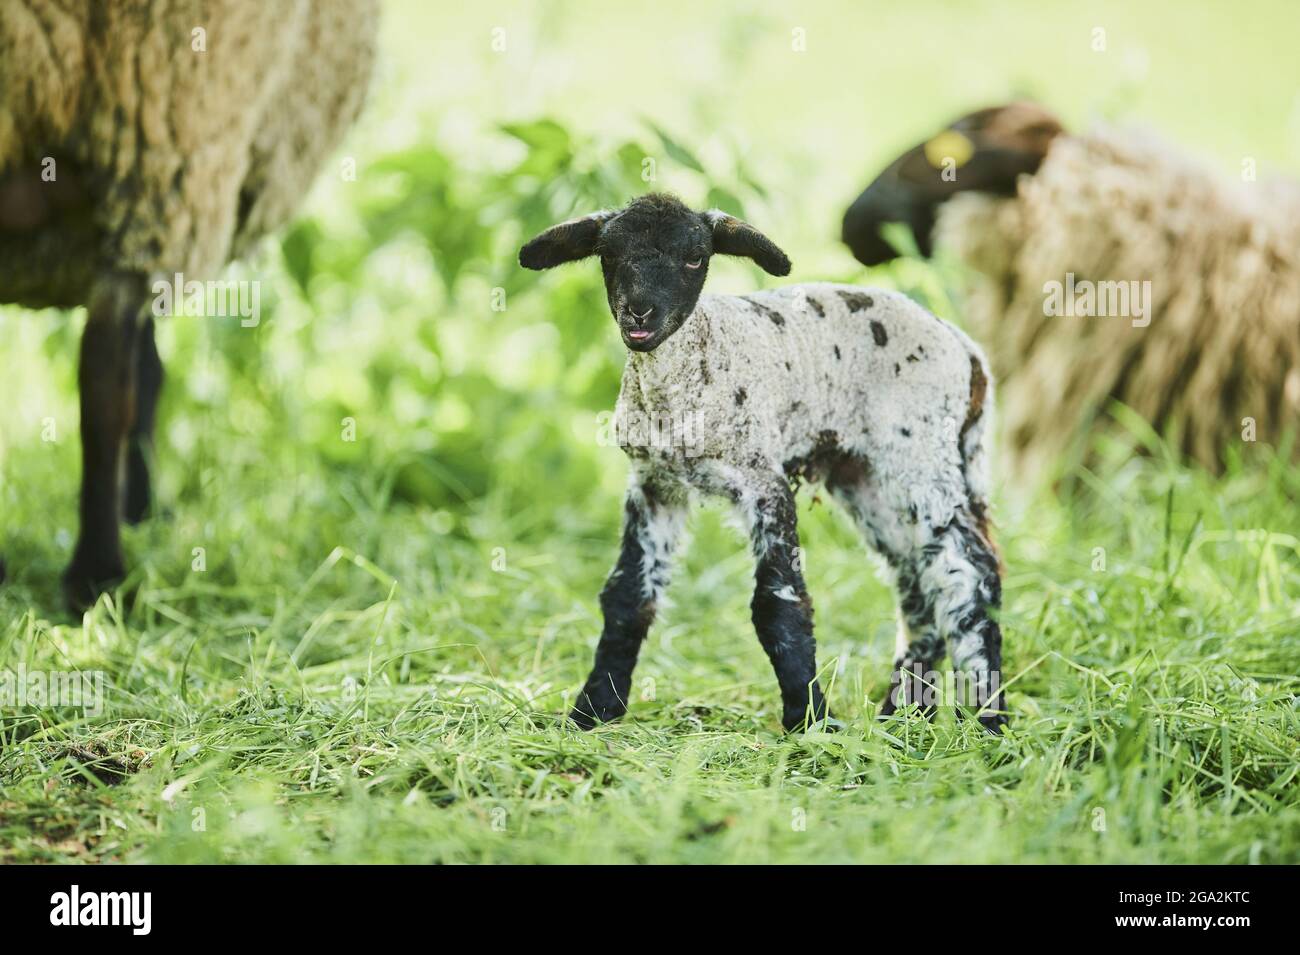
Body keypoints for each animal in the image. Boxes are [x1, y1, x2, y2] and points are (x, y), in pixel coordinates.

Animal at [520, 193, 1007, 733]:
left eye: (696, 257)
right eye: (608, 255)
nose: (639, 314)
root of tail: (966, 348)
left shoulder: (763, 481)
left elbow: (778, 603)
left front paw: (810, 721)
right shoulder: (654, 484)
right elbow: (627, 595)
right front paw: (593, 710)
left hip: (919, 455)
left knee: (968, 570)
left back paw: (987, 718)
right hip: (865, 476)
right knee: (918, 580)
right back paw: (903, 717)